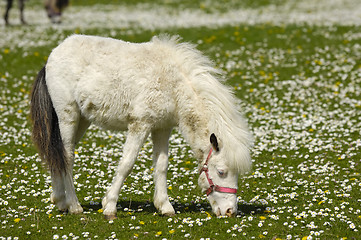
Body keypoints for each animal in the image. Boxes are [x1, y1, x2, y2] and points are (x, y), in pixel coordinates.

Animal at [29, 34, 252, 219]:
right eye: (221, 172)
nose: (230, 211)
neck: (173, 85)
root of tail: (52, 56)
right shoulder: (140, 125)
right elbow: (126, 164)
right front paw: (110, 206)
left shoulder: (162, 128)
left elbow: (161, 165)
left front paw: (164, 206)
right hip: (68, 116)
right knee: (66, 156)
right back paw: (74, 206)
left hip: (82, 120)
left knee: (57, 154)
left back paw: (60, 200)